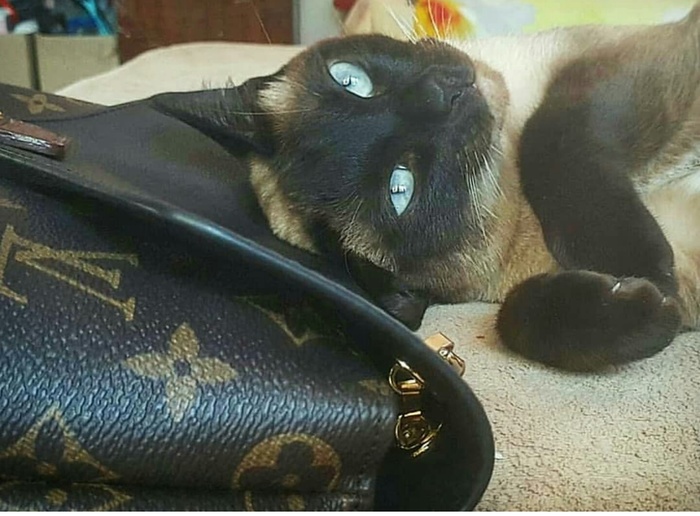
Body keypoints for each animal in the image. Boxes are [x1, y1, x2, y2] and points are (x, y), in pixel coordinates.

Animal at [151, 4, 700, 371]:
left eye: (350, 81)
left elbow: (549, 137)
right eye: (401, 187)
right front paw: (645, 294)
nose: (439, 96)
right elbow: (514, 317)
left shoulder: (605, 67)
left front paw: (634, 263)